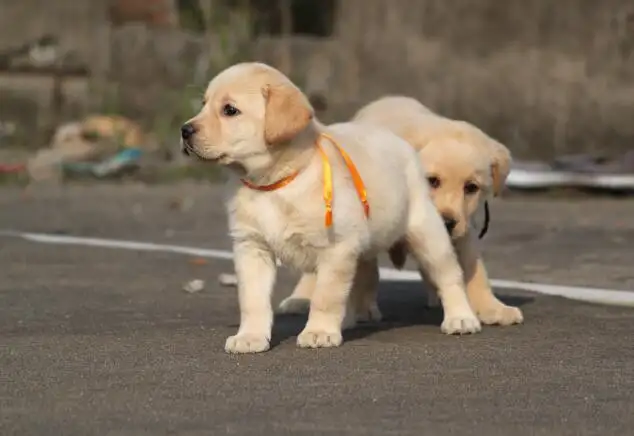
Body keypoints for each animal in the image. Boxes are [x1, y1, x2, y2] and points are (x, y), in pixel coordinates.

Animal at [181, 62, 478, 354]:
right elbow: (252, 299)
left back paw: (461, 318)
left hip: (426, 232)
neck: (274, 184)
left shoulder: (336, 248)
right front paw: (250, 337)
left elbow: (325, 296)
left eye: (229, 110)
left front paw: (319, 332)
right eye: (204, 104)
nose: (184, 130)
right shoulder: (252, 247)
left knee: (449, 275)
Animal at [278, 96, 520, 328]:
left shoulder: (461, 227)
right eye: (432, 180)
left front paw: (493, 308)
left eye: (471, 187)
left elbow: (473, 267)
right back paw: (302, 299)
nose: (446, 222)